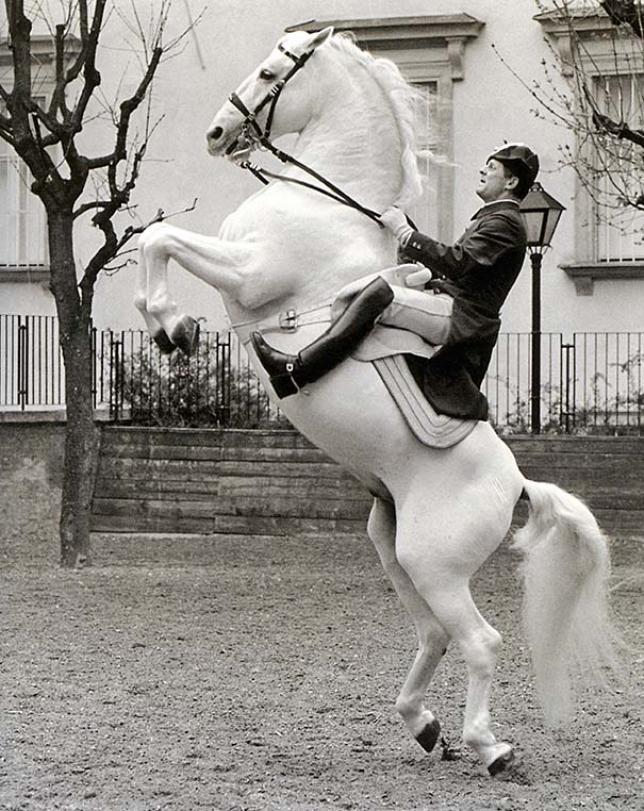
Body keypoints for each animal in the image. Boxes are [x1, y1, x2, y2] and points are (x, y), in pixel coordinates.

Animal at [135, 28, 620, 776]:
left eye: (271, 73)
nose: (216, 133)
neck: (324, 200)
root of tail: (517, 485)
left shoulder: (251, 272)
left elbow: (158, 238)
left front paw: (171, 323)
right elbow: (152, 239)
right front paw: (171, 324)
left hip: (433, 561)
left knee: (480, 640)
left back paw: (489, 745)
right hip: (395, 551)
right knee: (434, 636)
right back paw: (425, 726)